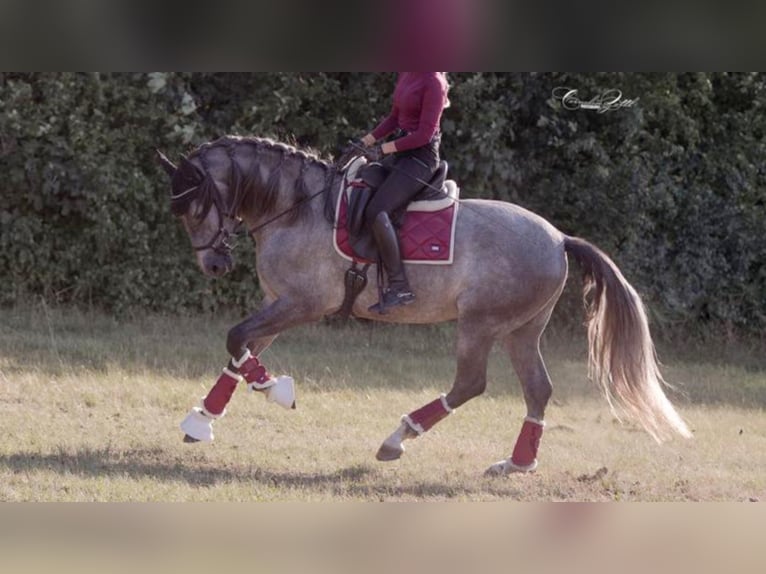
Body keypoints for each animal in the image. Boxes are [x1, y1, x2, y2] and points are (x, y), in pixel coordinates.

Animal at [159, 135, 692, 476]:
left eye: (197, 206)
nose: (214, 264)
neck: (298, 208)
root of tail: (560, 238)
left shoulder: (302, 303)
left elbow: (237, 340)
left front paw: (277, 390)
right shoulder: (277, 301)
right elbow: (241, 350)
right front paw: (202, 420)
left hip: (480, 324)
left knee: (471, 383)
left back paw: (398, 437)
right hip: (521, 330)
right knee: (538, 389)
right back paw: (518, 463)